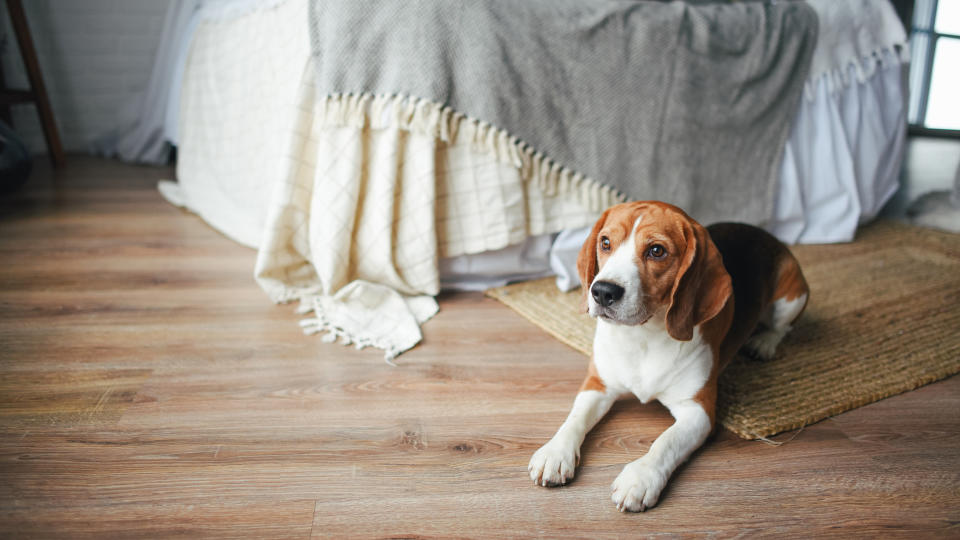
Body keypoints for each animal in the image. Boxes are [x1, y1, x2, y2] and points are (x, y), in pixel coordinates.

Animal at [528, 201, 808, 510]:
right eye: (605, 243)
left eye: (656, 250)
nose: (602, 291)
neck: (642, 336)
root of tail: (763, 232)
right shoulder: (597, 384)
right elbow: (575, 417)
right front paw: (555, 452)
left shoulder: (699, 410)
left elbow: (666, 441)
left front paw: (640, 478)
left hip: (791, 298)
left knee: (783, 326)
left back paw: (765, 343)